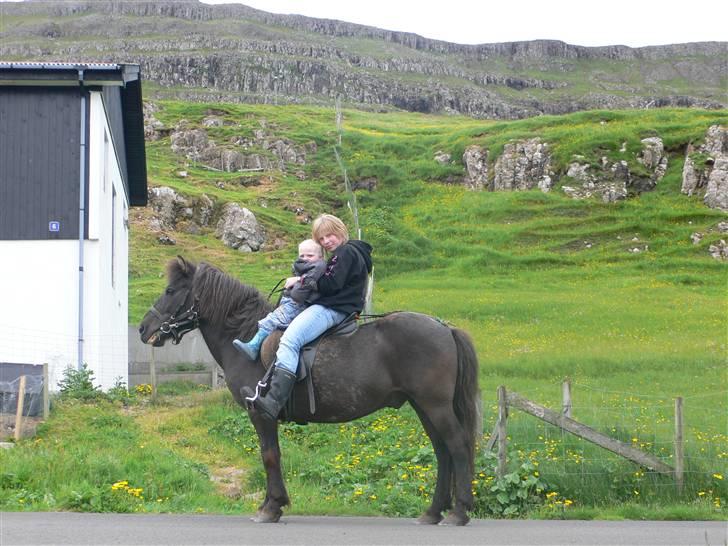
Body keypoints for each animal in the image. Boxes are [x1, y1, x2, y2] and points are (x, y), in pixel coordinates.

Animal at [139, 258, 480, 524]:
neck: (247, 337)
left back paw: (458, 512)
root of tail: (445, 327)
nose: (143, 329)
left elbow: (270, 456)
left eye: (170, 291)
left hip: (435, 406)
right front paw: (272, 504)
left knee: (457, 447)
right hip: (424, 407)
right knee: (443, 452)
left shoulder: (261, 415)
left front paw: (271, 507)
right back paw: (433, 512)